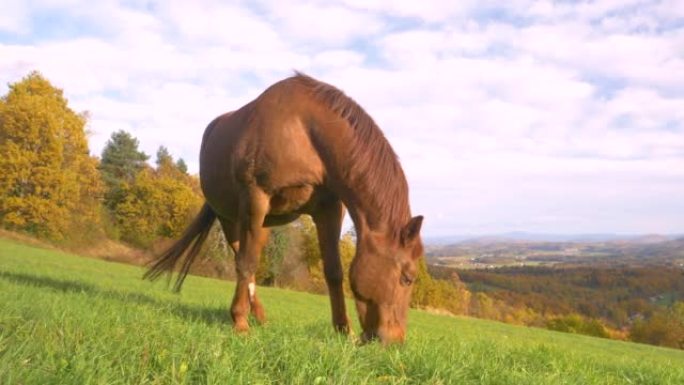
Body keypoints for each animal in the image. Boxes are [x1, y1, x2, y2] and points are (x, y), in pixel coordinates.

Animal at [144, 73, 422, 344]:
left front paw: (344, 331)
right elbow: (247, 263)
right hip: (230, 217)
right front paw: (240, 323)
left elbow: (333, 271)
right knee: (242, 257)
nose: (396, 340)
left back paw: (261, 317)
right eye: (407, 277)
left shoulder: (329, 208)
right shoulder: (256, 196)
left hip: (262, 223)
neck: (303, 132)